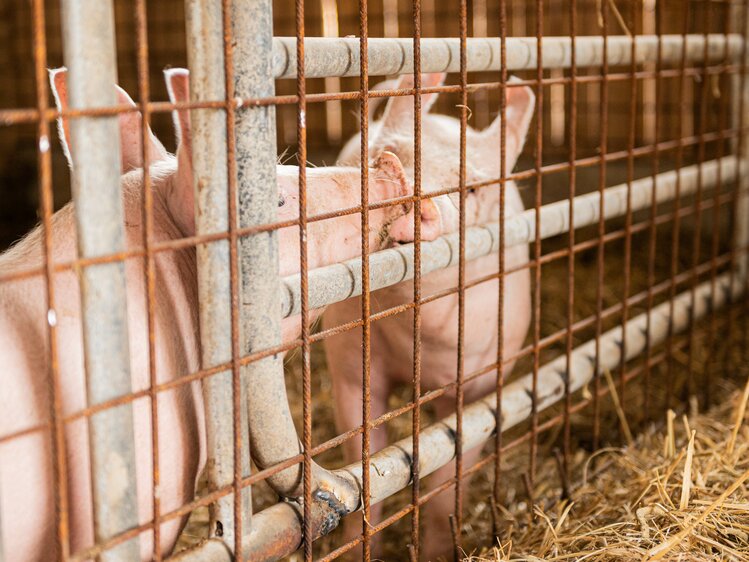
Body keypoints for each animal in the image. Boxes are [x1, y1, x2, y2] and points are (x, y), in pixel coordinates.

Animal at [322, 73, 532, 556]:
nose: (410, 192)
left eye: (471, 188)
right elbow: (366, 474)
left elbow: (445, 486)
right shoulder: (349, 368)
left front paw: (440, 551)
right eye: (389, 153)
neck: (415, 339)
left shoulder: (481, 384)